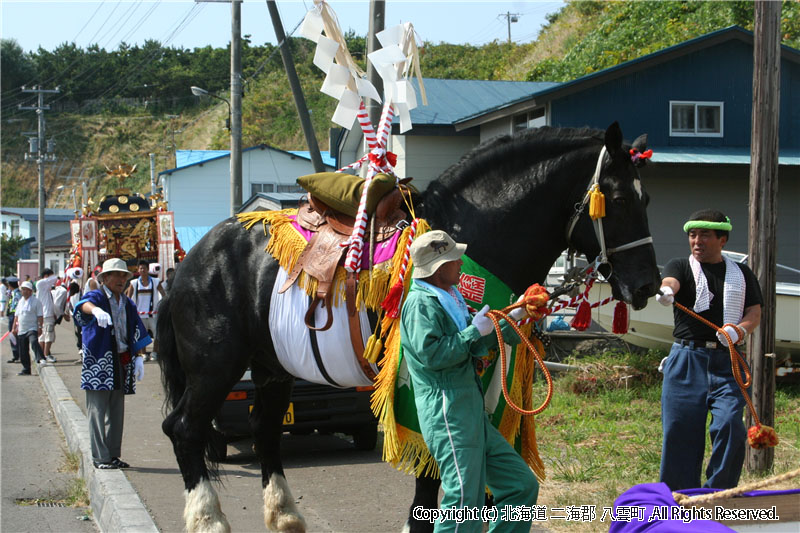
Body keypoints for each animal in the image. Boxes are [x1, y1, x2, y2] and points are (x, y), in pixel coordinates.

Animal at [159, 122, 660, 528]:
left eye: (647, 198)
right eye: (617, 200)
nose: (649, 284)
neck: (469, 242)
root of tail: (191, 260)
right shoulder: (421, 380)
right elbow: (431, 473)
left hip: (272, 366)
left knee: (264, 431)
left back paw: (284, 516)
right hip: (216, 366)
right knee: (185, 430)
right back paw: (208, 520)